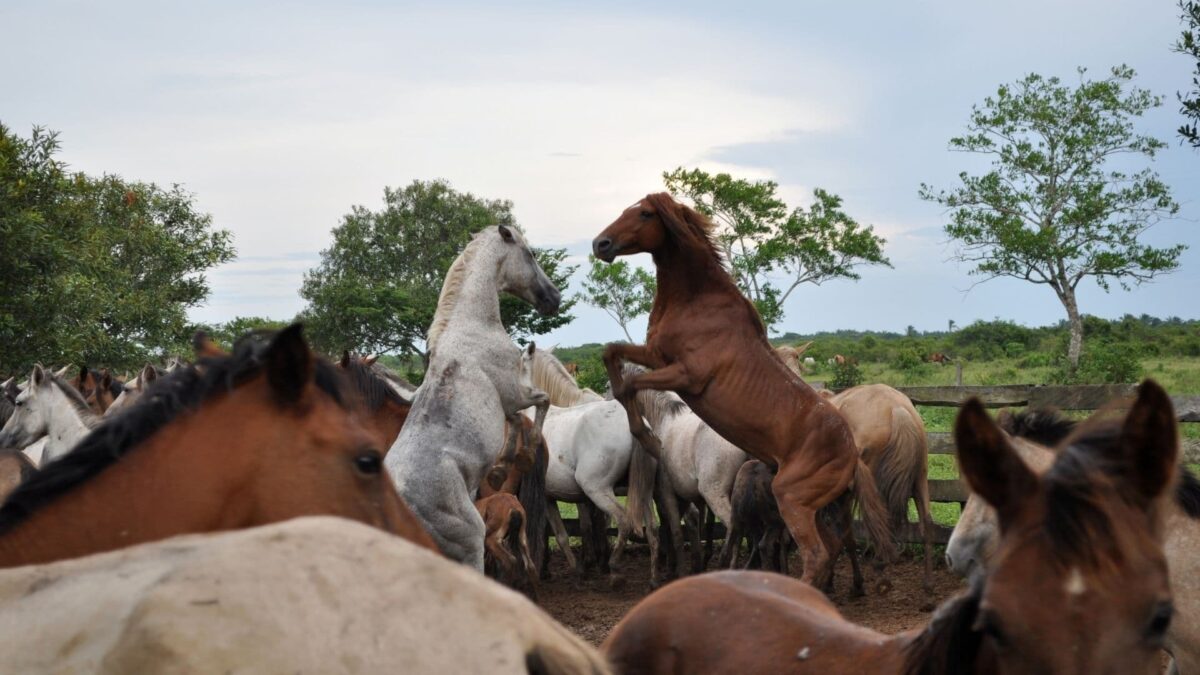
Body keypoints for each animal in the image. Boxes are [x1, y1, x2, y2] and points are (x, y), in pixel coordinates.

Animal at [386, 225, 559, 570]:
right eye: (530, 253)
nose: (554, 298)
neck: (472, 326)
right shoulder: (515, 394)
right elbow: (540, 403)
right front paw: (523, 455)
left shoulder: (508, 403)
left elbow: (516, 421)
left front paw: (502, 467)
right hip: (469, 545)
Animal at [593, 193, 894, 589]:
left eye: (644, 213)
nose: (601, 244)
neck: (697, 301)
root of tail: (852, 455)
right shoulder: (656, 355)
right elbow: (611, 352)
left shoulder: (686, 376)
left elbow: (628, 385)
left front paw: (647, 437)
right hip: (818, 506)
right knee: (832, 547)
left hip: (792, 499)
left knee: (816, 554)